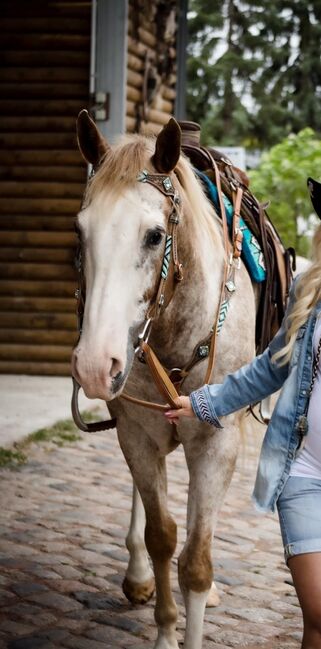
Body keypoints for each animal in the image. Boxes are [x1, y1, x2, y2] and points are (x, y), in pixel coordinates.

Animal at [70, 112, 255, 648]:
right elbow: (162, 536)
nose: (95, 365)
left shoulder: (216, 445)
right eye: (80, 233)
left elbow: (196, 561)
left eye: (155, 236)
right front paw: (166, 630)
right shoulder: (136, 431)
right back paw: (137, 577)